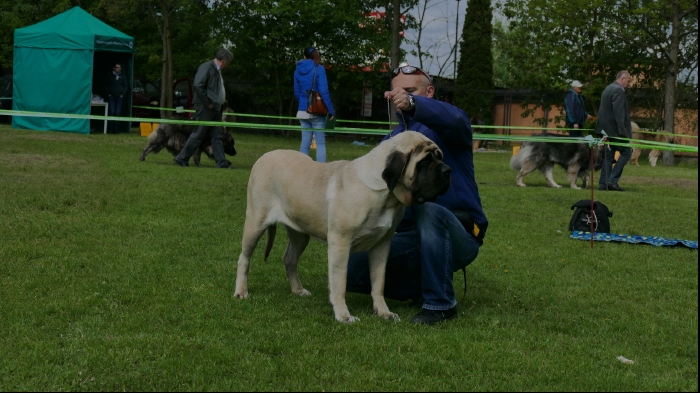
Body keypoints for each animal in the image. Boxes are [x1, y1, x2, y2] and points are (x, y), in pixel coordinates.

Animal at [234, 131, 454, 322]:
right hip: (255, 223)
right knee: (244, 258)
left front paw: (384, 312)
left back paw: (298, 290)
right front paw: (344, 316)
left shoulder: (382, 245)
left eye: (440, 157)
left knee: (289, 259)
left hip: (300, 233)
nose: (447, 170)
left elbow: (378, 282)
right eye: (424, 162)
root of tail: (265, 156)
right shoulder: (340, 243)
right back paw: (241, 291)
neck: (386, 195)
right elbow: (339, 282)